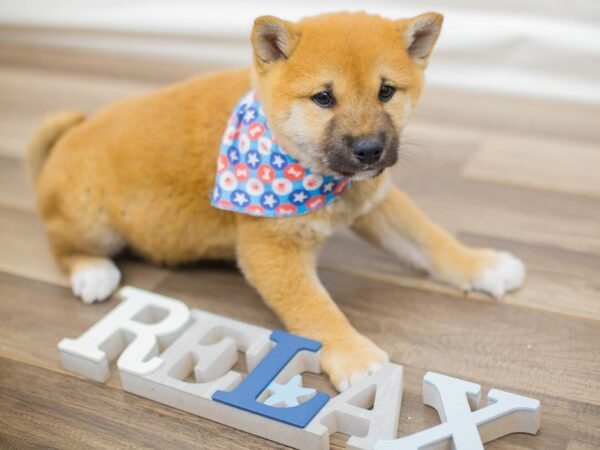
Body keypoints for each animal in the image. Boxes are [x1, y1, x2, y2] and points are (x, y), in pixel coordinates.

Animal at [29, 10, 524, 390]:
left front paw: (482, 265)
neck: (316, 175)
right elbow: (316, 310)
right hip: (91, 219)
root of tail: (66, 141)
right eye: (324, 98)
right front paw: (354, 357)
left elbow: (431, 241)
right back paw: (92, 273)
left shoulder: (375, 200)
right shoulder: (270, 250)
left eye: (386, 91)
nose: (369, 150)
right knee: (60, 244)